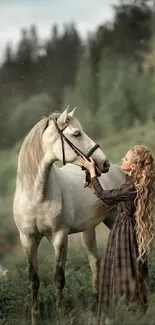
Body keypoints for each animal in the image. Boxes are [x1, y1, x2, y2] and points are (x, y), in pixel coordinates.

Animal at [12, 105, 125, 322]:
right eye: (77, 133)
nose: (103, 163)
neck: (36, 196)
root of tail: (119, 170)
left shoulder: (59, 236)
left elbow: (58, 277)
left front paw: (60, 313)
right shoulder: (27, 239)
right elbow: (34, 279)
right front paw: (36, 316)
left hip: (113, 219)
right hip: (88, 230)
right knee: (95, 260)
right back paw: (95, 299)